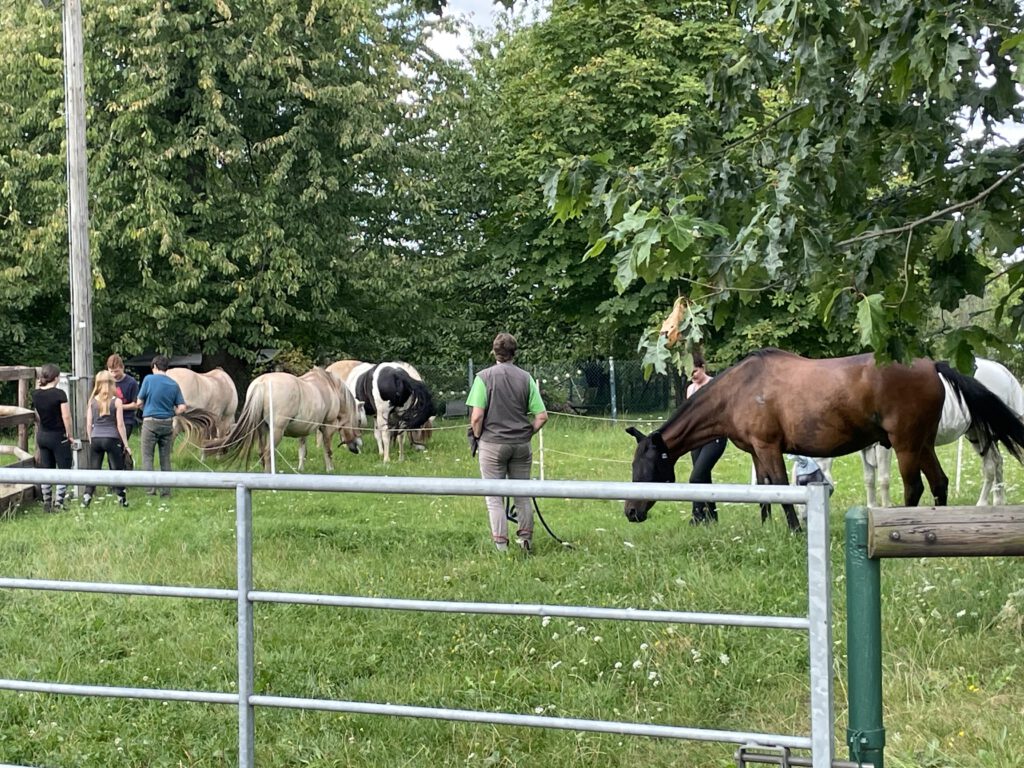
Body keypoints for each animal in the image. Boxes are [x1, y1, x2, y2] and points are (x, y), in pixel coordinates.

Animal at [618, 352, 1024, 532]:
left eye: (647, 469)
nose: (631, 512)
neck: (739, 389)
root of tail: (933, 365)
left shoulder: (769, 448)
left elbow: (781, 489)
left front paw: (796, 530)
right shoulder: (759, 451)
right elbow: (764, 490)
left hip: (907, 445)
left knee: (916, 488)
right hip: (923, 444)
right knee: (939, 483)